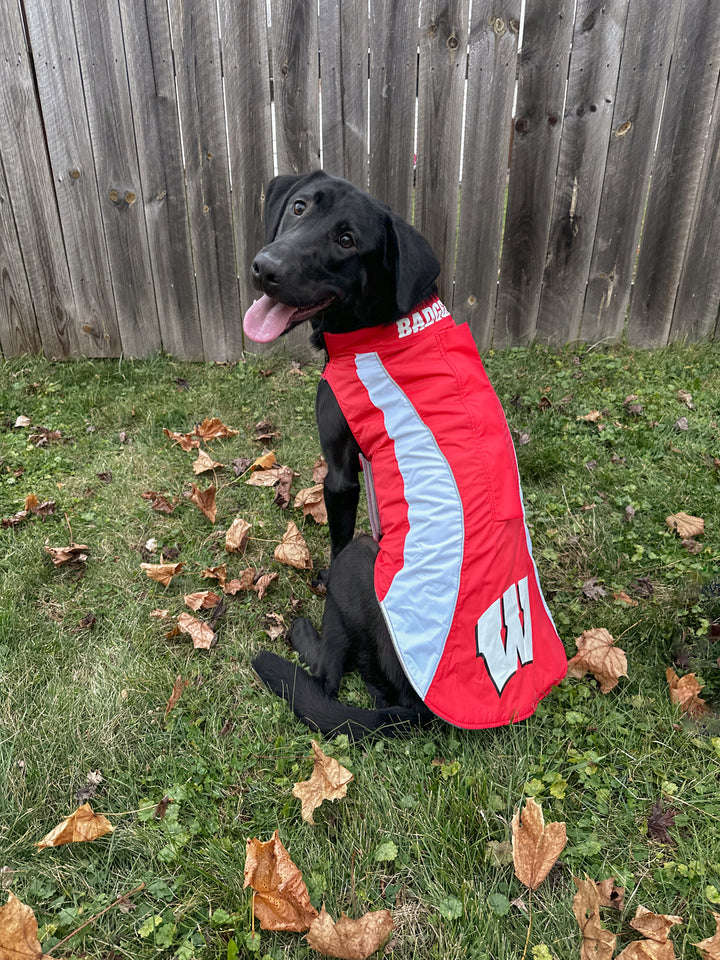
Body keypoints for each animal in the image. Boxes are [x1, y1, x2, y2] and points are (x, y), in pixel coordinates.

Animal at [245, 171, 564, 744]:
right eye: (299, 207)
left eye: (347, 240)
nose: (266, 267)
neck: (383, 322)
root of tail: (416, 708)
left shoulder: (342, 474)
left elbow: (335, 534)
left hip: (359, 562)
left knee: (328, 676)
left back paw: (303, 634)